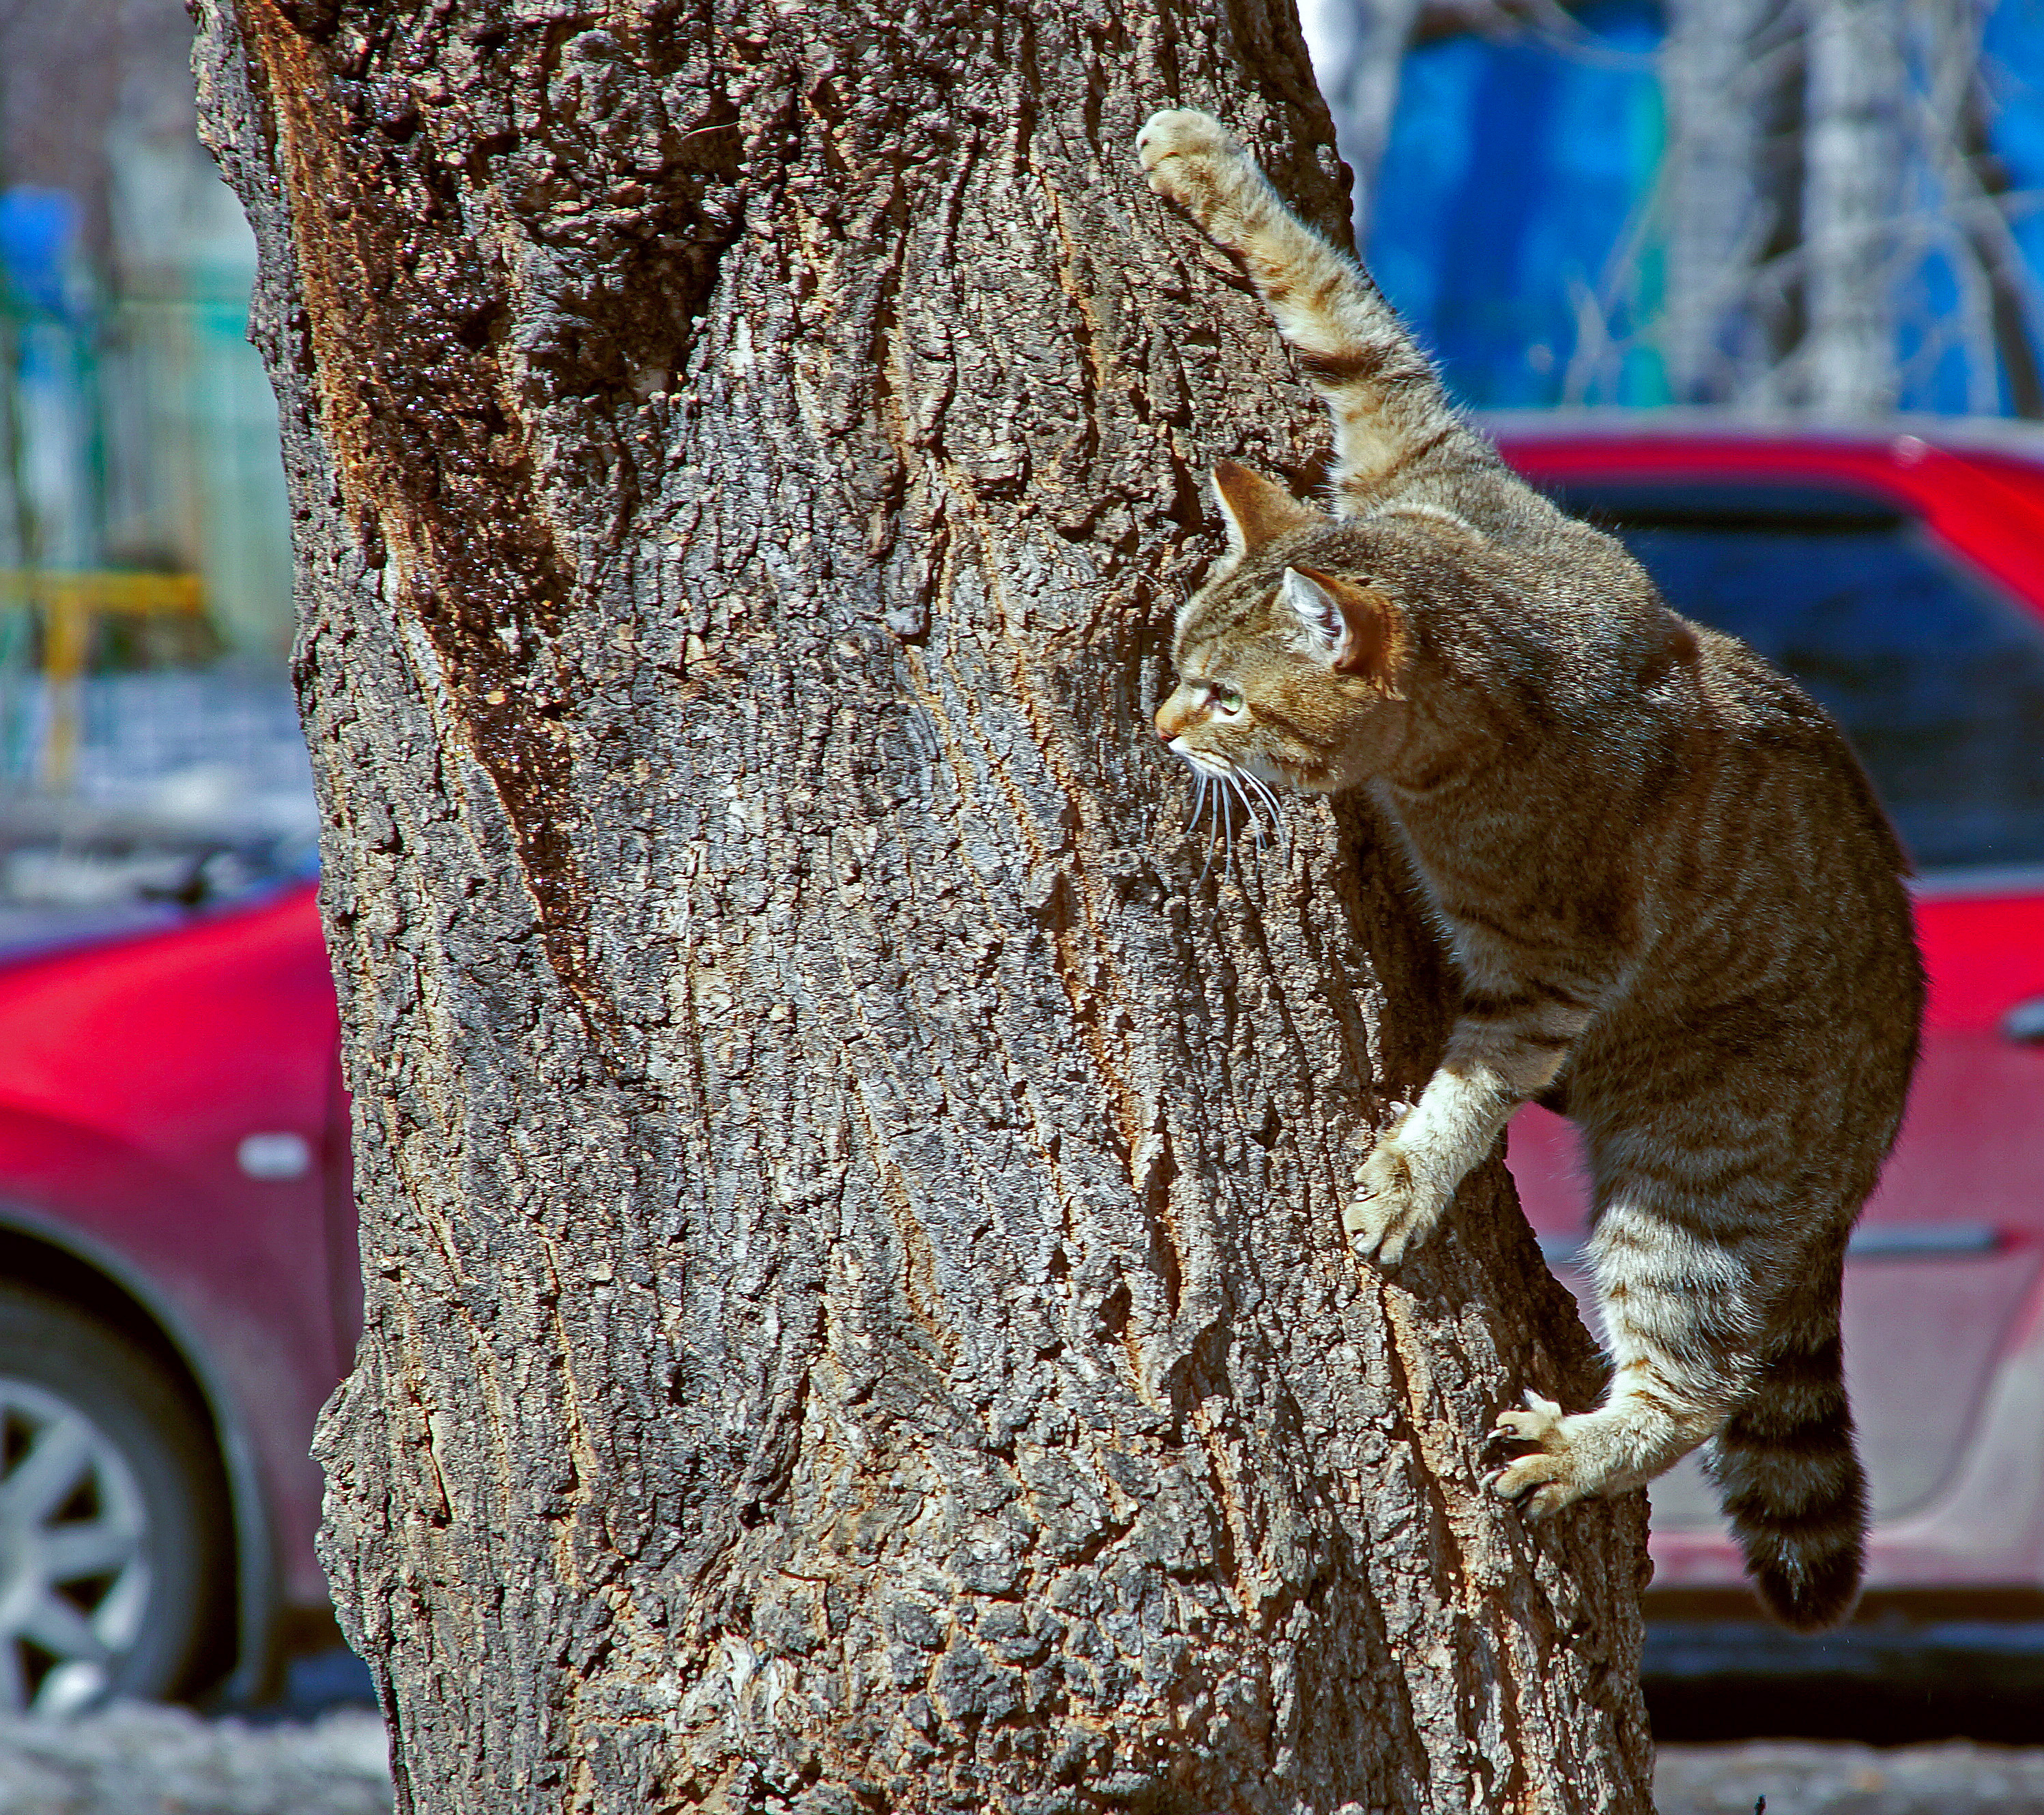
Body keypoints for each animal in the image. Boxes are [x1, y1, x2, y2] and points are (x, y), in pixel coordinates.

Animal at [1145, 110, 1921, 1627]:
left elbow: (1474, 1078)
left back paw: (1593, 1449)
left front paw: (1410, 1169)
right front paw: (1206, 165)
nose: (1155, 727)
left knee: (1697, 1385)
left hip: (1694, 1174)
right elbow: (1342, 309)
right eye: (1178, 662)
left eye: (1223, 699)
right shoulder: (1423, 453)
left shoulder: (1560, 959)